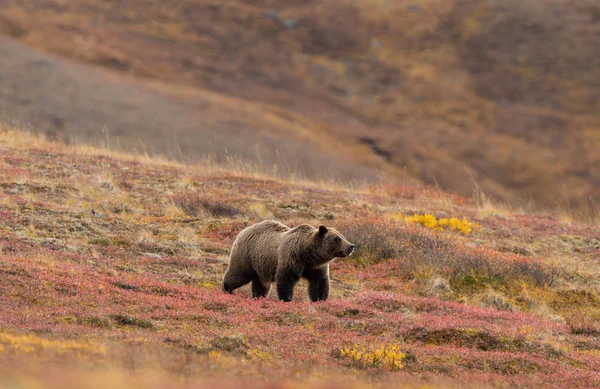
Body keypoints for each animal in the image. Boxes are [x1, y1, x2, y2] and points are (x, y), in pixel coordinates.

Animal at [225, 220, 356, 302]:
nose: (351, 246)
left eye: (343, 236)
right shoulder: (291, 258)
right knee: (237, 274)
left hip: (261, 265)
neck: (308, 254)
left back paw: (259, 297)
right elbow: (285, 279)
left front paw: (320, 300)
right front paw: (287, 299)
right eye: (337, 238)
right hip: (246, 256)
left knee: (261, 284)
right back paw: (227, 289)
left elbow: (319, 283)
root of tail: (243, 231)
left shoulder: (316, 267)